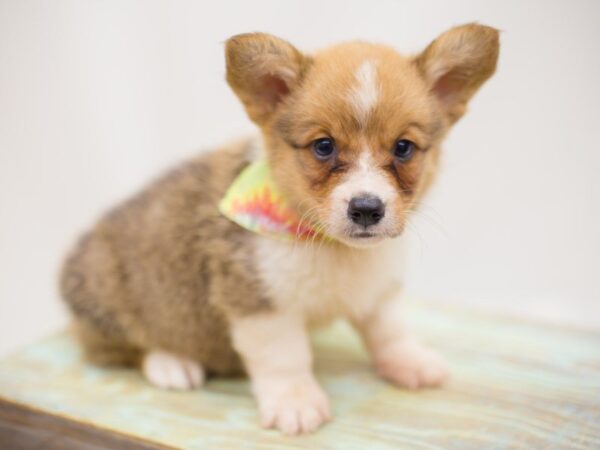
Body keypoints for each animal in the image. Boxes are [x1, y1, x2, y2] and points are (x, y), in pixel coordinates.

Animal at [62, 24, 502, 436]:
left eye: (403, 148)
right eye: (323, 146)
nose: (366, 209)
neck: (331, 246)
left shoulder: (378, 289)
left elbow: (389, 330)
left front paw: (409, 361)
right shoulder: (262, 305)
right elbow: (285, 358)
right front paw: (296, 403)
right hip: (110, 298)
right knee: (122, 346)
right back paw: (172, 363)